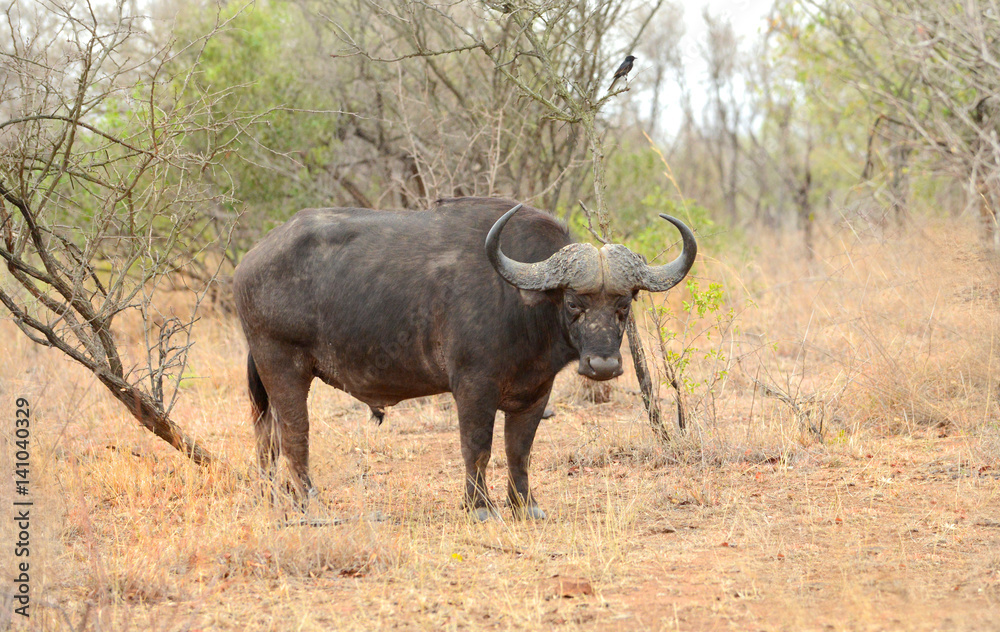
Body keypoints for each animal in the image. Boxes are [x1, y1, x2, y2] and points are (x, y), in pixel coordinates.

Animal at [234, 197, 696, 520]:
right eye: (573, 303)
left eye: (623, 304)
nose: (603, 366)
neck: (519, 303)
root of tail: (248, 263)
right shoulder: (473, 388)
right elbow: (478, 446)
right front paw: (479, 506)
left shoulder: (535, 393)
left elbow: (519, 450)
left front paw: (525, 504)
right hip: (283, 366)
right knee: (295, 436)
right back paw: (309, 504)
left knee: (266, 437)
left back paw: (271, 497)